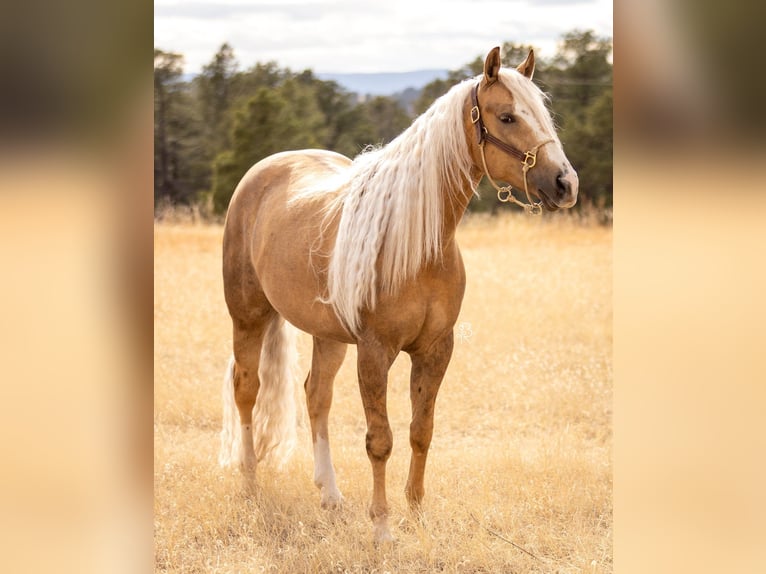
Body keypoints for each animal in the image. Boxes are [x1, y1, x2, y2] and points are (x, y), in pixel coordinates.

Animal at [218, 47, 578, 543]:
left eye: (544, 115)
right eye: (507, 117)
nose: (566, 184)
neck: (416, 244)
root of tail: (262, 172)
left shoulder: (435, 349)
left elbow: (420, 430)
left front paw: (417, 513)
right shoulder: (375, 351)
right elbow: (380, 441)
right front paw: (383, 526)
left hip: (327, 335)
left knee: (316, 396)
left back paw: (330, 494)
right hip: (248, 316)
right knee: (247, 390)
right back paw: (250, 483)